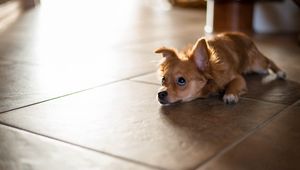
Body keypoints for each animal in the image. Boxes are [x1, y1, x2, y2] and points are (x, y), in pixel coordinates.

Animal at [155, 31, 286, 105]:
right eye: (163, 79)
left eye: (181, 81)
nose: (160, 94)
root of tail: (244, 35)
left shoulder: (238, 78)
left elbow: (233, 84)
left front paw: (230, 95)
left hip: (257, 64)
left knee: (269, 61)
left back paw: (281, 72)